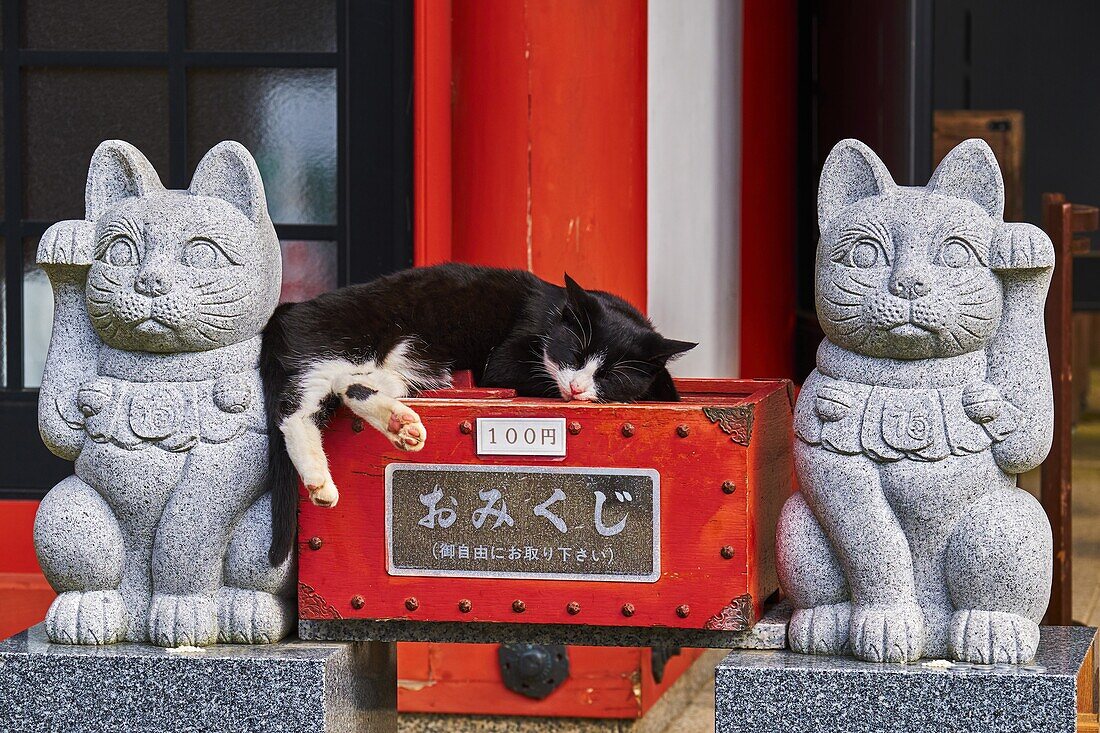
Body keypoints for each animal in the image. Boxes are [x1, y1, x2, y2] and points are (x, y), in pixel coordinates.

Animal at [261, 265, 690, 561]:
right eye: (576, 352)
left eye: (611, 373)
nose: (577, 388)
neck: (553, 315)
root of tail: (294, 308)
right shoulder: (506, 361)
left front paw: (659, 388)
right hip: (351, 344)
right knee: (297, 406)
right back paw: (325, 479)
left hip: (390, 369)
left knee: (348, 389)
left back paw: (399, 428)